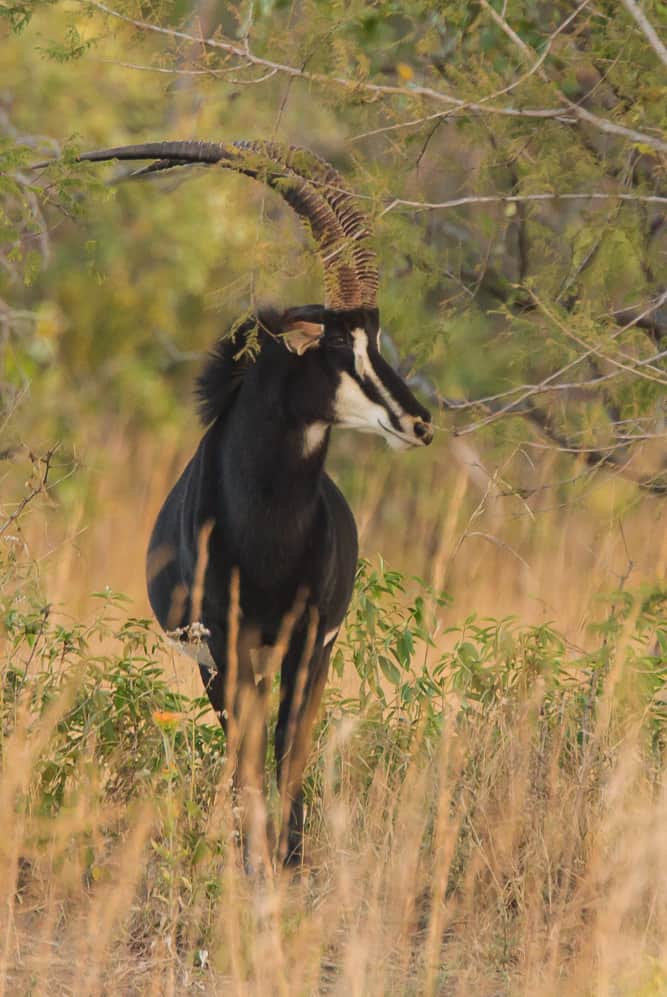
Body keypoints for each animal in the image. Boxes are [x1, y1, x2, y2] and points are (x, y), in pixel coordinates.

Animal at [70, 140, 434, 864]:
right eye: (337, 344)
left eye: (376, 339)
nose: (419, 422)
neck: (266, 523)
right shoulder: (226, 644)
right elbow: (247, 765)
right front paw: (256, 866)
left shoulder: (307, 642)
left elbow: (287, 757)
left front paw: (287, 863)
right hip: (228, 667)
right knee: (244, 752)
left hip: (298, 658)